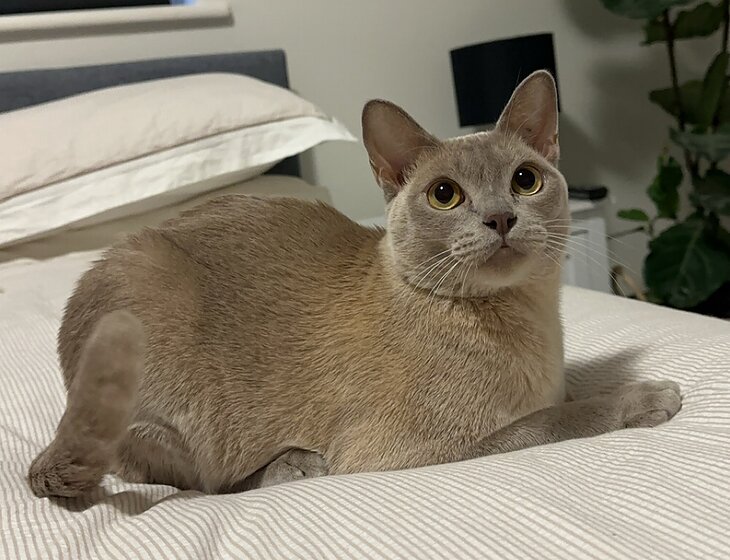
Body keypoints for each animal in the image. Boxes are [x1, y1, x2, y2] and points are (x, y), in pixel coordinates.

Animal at [28, 71, 681, 498]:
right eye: (445, 194)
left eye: (525, 180)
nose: (500, 218)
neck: (529, 319)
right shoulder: (426, 450)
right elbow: (552, 421)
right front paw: (648, 397)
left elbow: (566, 398)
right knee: (204, 484)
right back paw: (293, 465)